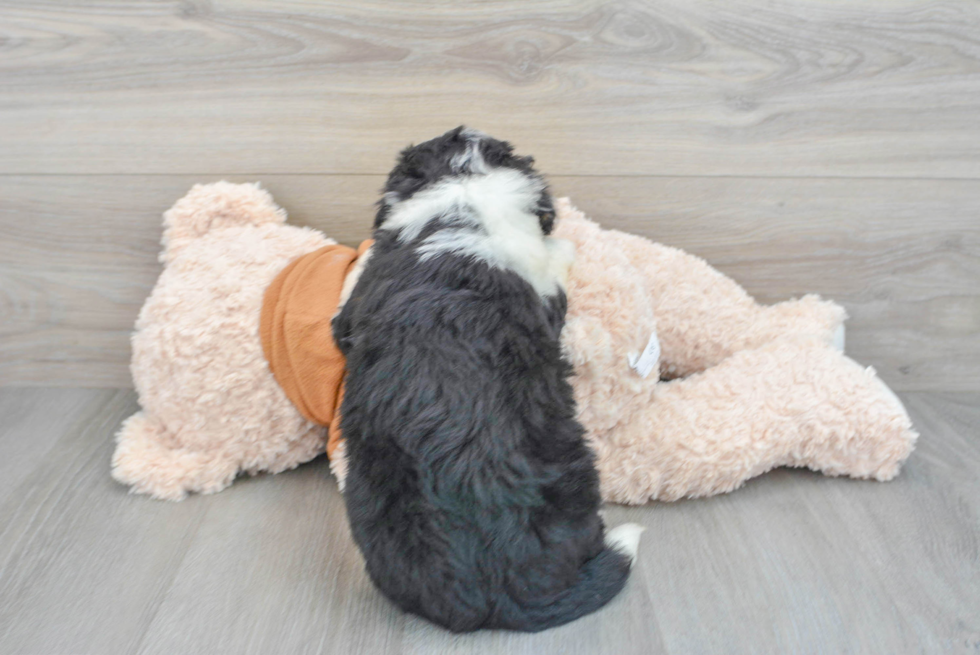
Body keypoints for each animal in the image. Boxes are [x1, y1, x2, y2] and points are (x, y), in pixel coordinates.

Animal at [334, 125, 644, 632]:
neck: (461, 195)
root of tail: (509, 598)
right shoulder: (545, 295)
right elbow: (555, 263)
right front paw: (565, 246)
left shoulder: (353, 308)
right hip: (576, 474)